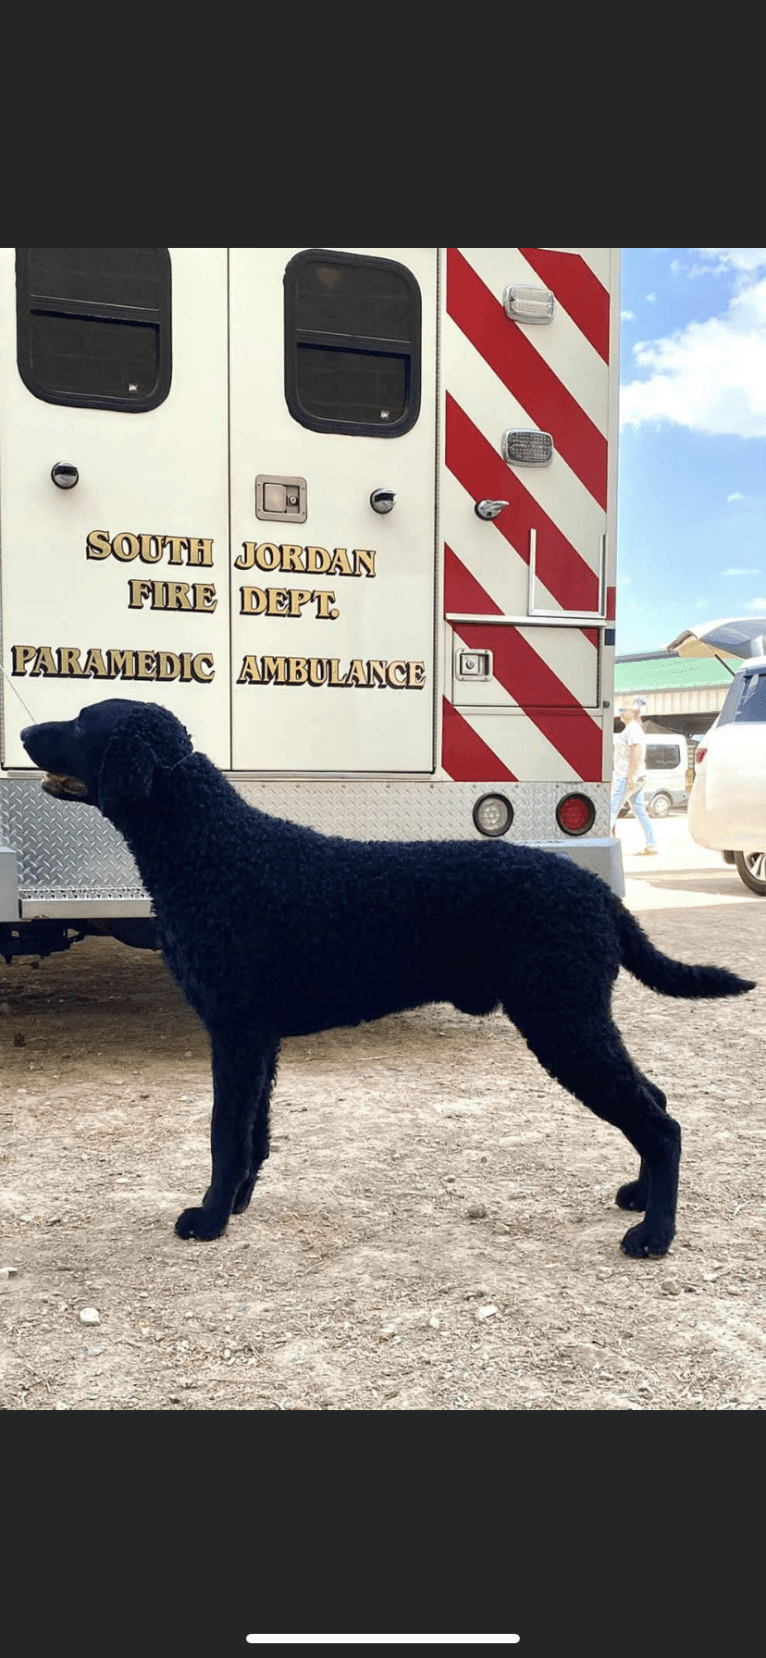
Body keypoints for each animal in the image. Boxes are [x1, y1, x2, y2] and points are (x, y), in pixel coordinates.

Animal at [20, 699, 756, 1253]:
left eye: (81, 722)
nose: (24, 732)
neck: (213, 848)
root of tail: (596, 891)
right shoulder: (259, 1040)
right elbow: (255, 1134)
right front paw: (240, 1204)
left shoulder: (234, 1030)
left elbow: (224, 1133)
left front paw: (209, 1218)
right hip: (576, 1020)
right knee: (654, 1101)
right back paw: (638, 1197)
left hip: (563, 1020)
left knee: (661, 1124)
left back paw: (655, 1235)